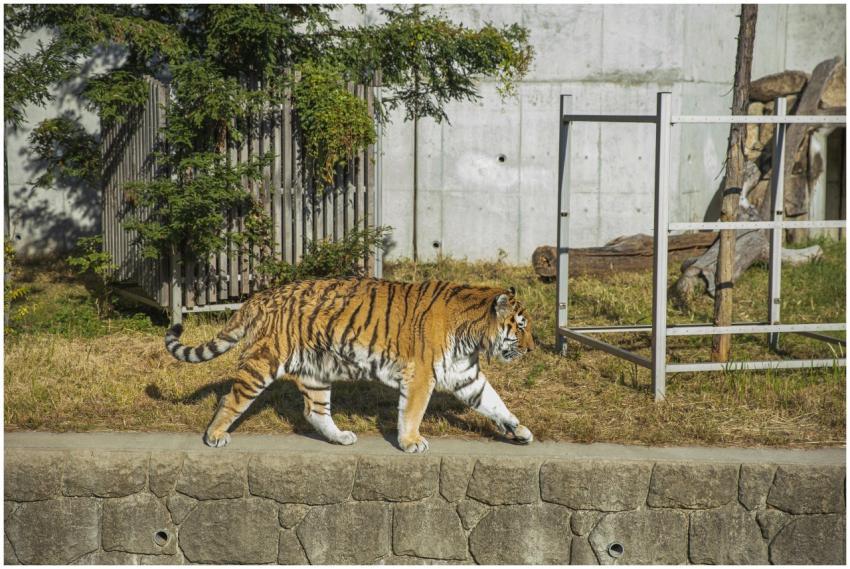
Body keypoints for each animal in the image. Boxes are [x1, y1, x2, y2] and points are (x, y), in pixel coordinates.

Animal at [164, 277, 535, 453]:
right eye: (521, 326)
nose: (533, 348)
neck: (472, 335)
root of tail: (260, 296)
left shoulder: (465, 375)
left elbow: (495, 403)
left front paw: (519, 430)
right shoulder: (420, 376)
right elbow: (412, 412)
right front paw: (411, 442)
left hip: (316, 370)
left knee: (314, 411)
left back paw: (340, 437)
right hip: (263, 361)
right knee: (231, 398)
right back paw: (214, 435)